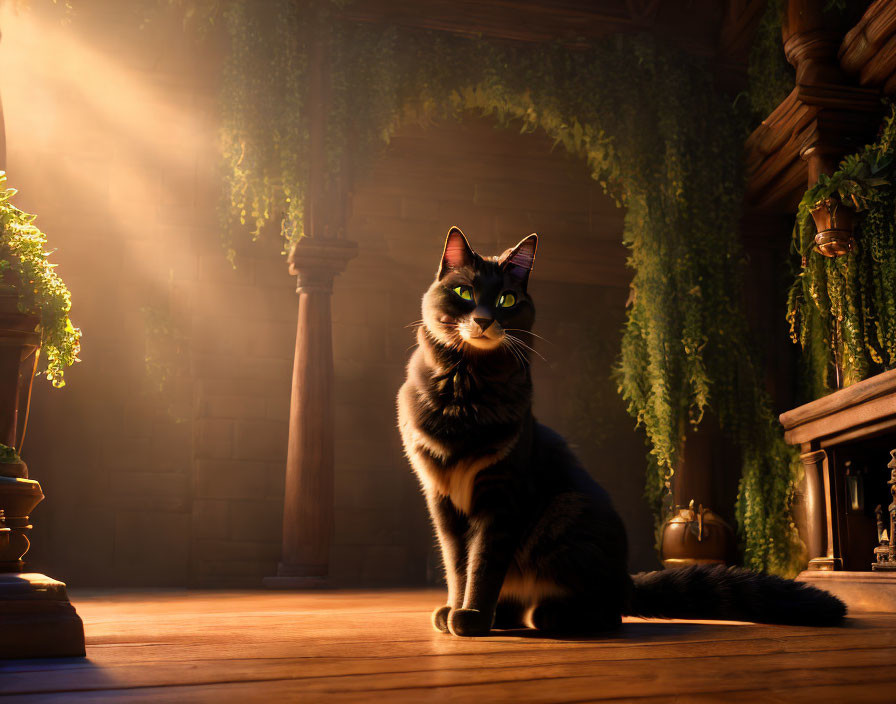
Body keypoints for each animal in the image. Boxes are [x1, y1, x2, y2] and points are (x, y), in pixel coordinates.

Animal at [396, 227, 844, 640]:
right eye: (464, 292)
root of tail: (625, 581)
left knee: (606, 615)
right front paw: (456, 611)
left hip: (566, 515)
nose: (485, 319)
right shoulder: (441, 498)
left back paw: (549, 615)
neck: (465, 389)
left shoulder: (501, 496)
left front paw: (471, 618)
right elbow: (458, 564)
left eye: (507, 299)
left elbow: (484, 564)